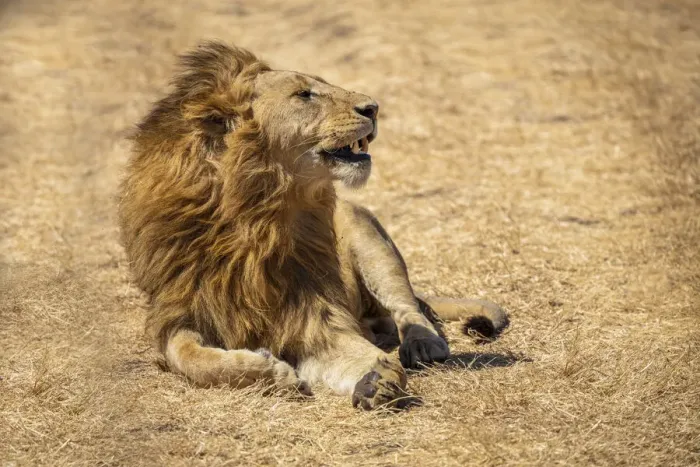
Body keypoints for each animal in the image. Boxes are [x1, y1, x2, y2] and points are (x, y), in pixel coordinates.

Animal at [118, 42, 508, 410]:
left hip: (366, 234)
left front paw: (377, 379)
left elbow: (365, 354)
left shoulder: (312, 319)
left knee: (408, 307)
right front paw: (267, 371)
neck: (254, 217)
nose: (373, 108)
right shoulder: (180, 312)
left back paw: (423, 345)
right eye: (304, 94)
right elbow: (190, 357)